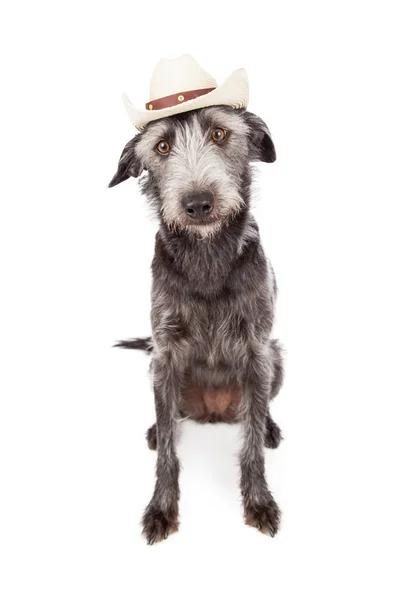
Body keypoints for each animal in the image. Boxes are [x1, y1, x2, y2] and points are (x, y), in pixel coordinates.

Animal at [109, 104, 284, 544]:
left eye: (220, 133)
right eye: (162, 146)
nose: (198, 203)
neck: (206, 256)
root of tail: (213, 413)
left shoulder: (257, 351)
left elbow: (251, 446)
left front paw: (259, 502)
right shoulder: (165, 353)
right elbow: (169, 455)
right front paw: (161, 508)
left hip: (276, 360)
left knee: (259, 411)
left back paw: (269, 426)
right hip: (155, 371)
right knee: (169, 414)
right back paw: (158, 428)